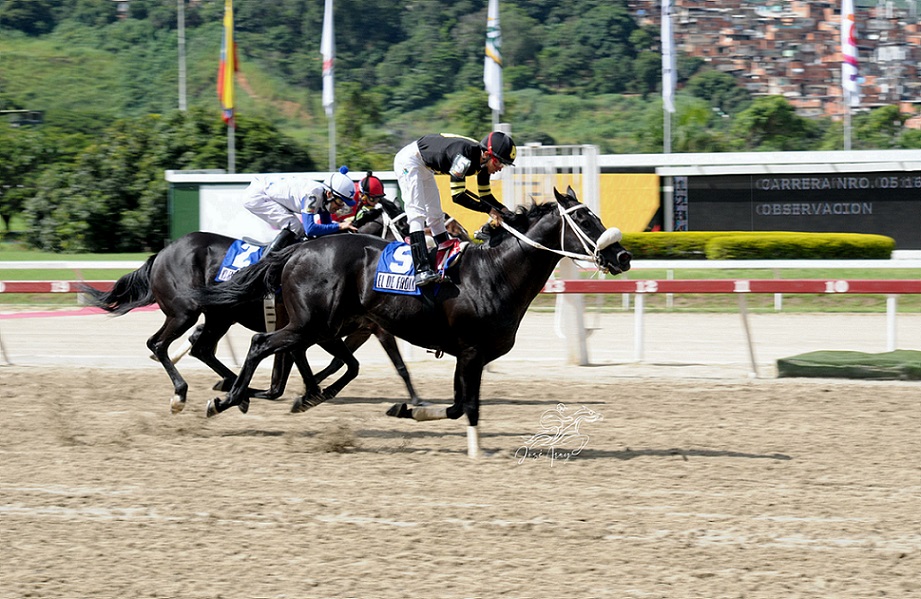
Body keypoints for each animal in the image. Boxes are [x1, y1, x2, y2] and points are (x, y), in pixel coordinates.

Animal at [79, 198, 445, 413]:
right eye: (403, 222)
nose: (426, 252)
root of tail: (163, 253)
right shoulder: (313, 328)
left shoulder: (340, 329)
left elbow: (320, 368)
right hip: (184, 312)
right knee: (159, 344)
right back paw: (182, 393)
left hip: (219, 317)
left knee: (201, 348)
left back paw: (228, 385)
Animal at [187, 187, 631, 457]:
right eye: (585, 220)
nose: (623, 257)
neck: (494, 273)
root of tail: (296, 252)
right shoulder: (471, 352)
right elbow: (468, 406)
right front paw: (473, 449)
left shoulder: (466, 355)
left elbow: (456, 406)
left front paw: (406, 410)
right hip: (308, 324)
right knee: (258, 344)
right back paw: (226, 398)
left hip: (321, 326)